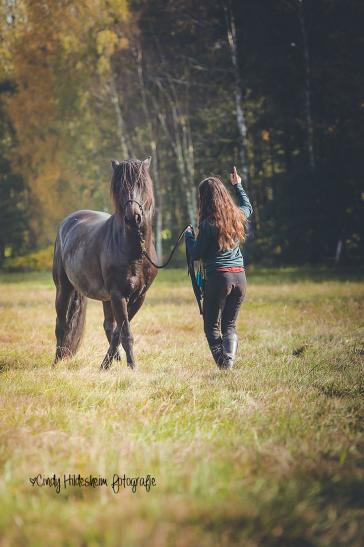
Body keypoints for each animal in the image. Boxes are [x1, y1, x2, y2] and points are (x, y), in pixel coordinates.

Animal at [52, 161, 157, 370]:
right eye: (119, 187)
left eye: (141, 184)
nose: (133, 217)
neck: (135, 251)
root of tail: (68, 222)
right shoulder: (118, 295)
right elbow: (125, 333)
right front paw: (132, 368)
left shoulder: (138, 297)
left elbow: (118, 332)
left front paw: (106, 366)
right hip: (64, 289)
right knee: (61, 324)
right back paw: (56, 363)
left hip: (105, 298)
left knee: (108, 326)